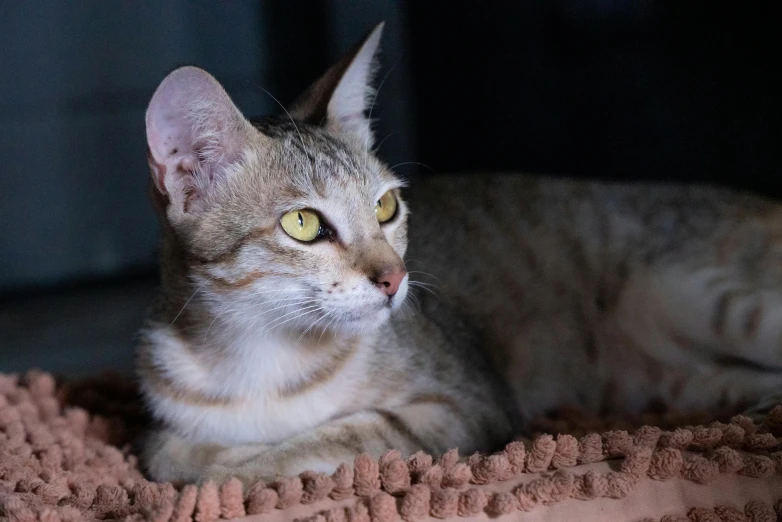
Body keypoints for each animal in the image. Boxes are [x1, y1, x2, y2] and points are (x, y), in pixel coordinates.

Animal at [138, 22, 782, 482]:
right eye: (303, 223)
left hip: (704, 298)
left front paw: (236, 465)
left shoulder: (467, 405)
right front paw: (201, 458)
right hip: (671, 382)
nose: (395, 278)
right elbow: (162, 453)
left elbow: (338, 436)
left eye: (385, 207)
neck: (266, 358)